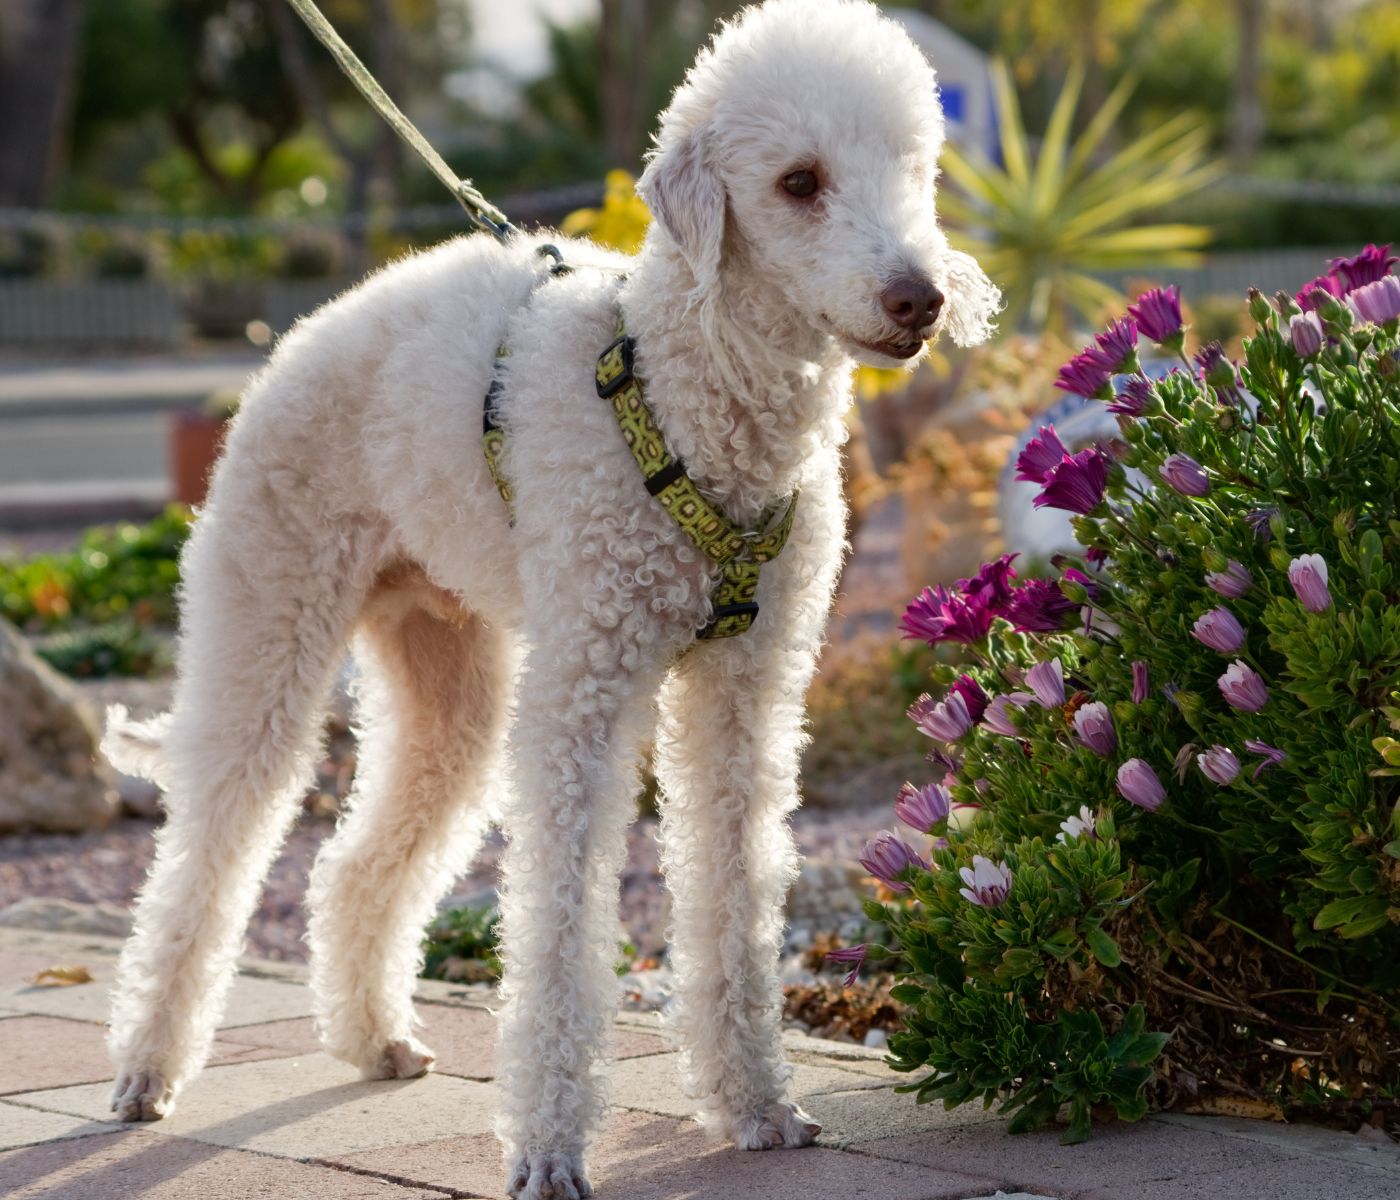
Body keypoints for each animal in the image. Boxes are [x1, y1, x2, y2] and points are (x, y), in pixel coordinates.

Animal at [101, 0, 996, 1192]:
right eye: (799, 182)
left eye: (914, 169)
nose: (919, 298)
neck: (686, 394)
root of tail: (300, 338)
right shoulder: (585, 691)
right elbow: (560, 923)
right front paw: (548, 1148)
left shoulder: (747, 692)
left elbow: (735, 890)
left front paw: (756, 1105)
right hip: (268, 610)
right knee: (209, 852)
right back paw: (147, 1071)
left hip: (445, 669)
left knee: (352, 867)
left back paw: (373, 1038)